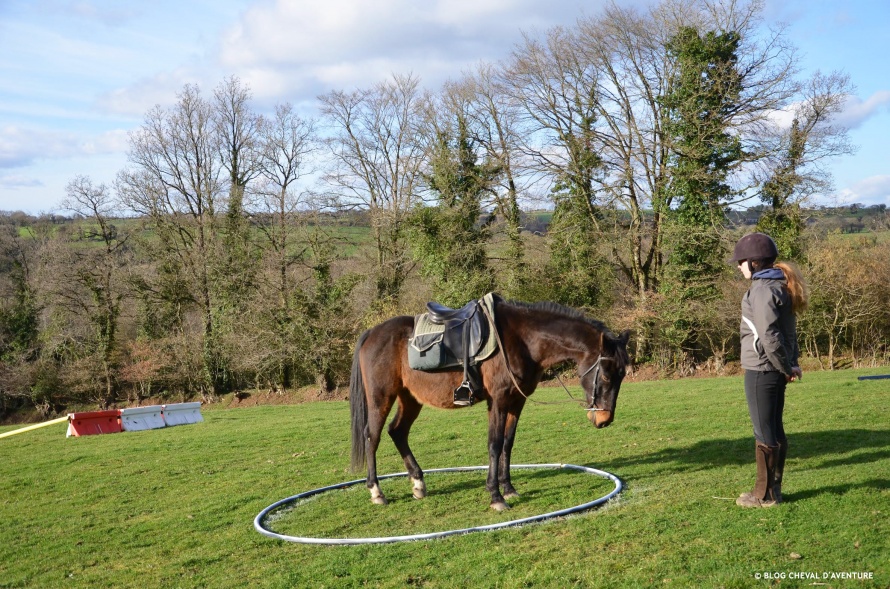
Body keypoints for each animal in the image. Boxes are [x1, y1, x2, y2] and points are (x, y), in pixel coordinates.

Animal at [348, 294, 632, 510]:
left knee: (398, 432)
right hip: (381, 398)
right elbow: (494, 445)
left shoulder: (516, 402)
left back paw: (418, 483)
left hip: (410, 399)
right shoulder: (498, 401)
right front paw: (496, 497)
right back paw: (377, 491)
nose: (604, 419)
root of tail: (372, 332)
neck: (524, 340)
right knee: (372, 436)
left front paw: (508, 488)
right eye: (606, 375)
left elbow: (507, 443)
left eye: (622, 375)